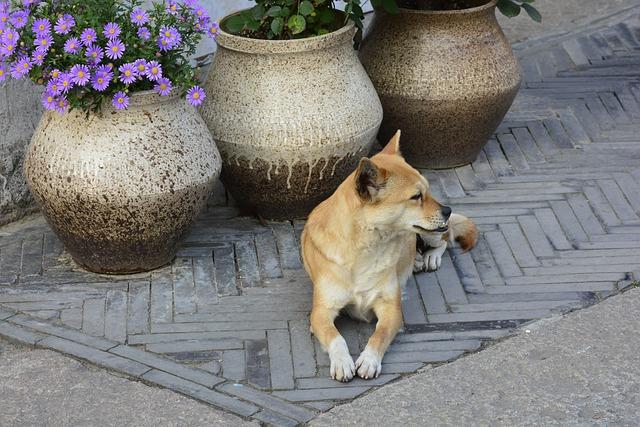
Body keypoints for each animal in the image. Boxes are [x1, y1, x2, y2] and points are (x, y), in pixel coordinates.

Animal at [302, 131, 478, 384]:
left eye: (426, 190)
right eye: (416, 196)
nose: (448, 210)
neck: (364, 249)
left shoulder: (391, 309)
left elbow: (380, 335)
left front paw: (369, 359)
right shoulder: (321, 312)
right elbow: (335, 337)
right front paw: (342, 361)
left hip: (431, 233)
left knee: (444, 239)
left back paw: (429, 257)